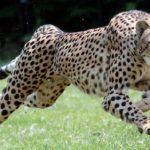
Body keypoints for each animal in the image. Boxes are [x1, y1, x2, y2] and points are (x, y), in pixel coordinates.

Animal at [0, 10, 150, 135]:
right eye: (149, 42)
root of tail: (52, 32)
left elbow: (142, 102)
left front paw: (140, 111)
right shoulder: (114, 93)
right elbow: (132, 110)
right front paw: (146, 124)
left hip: (45, 96)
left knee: (25, 98)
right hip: (18, 89)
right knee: (5, 102)